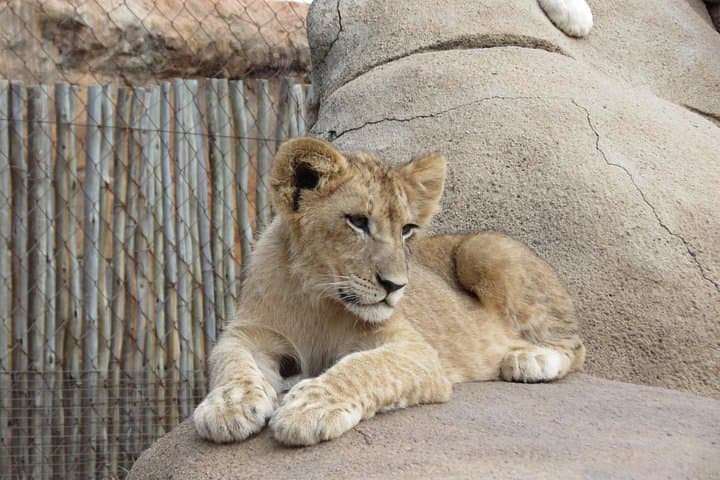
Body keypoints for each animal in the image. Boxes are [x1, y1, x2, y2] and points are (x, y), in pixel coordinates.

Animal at [193, 137, 586, 446]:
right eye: (357, 222)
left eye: (407, 229)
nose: (396, 286)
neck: (317, 297)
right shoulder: (249, 331)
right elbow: (230, 361)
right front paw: (228, 407)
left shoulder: (417, 351)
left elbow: (365, 366)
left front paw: (309, 408)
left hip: (485, 249)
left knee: (574, 344)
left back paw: (529, 359)